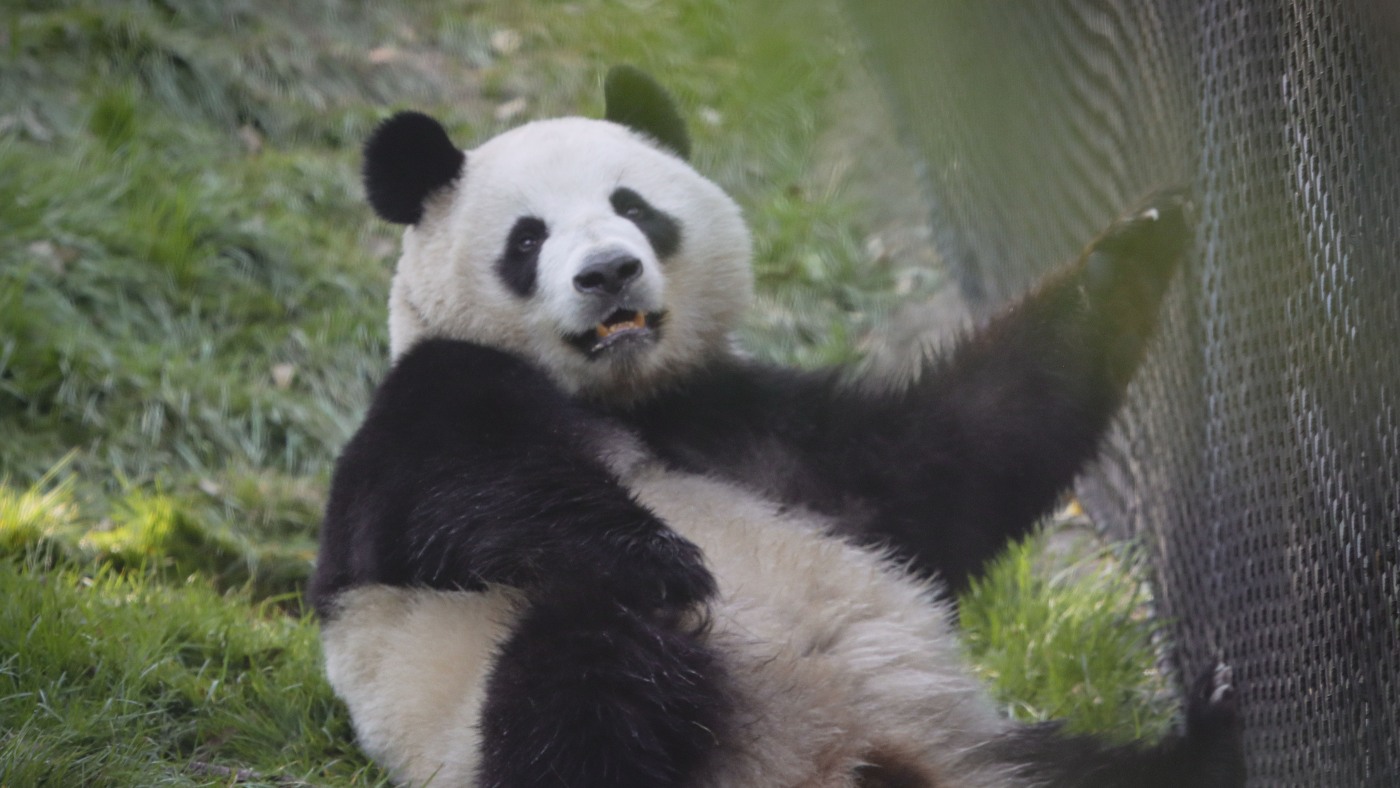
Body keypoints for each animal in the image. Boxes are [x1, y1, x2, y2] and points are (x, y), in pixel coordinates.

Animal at [309, 69, 1248, 788]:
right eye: (527, 238)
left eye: (635, 208)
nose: (609, 272)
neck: (622, 399)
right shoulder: (427, 400)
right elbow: (450, 490)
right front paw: (658, 554)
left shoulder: (744, 427)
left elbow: (950, 459)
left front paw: (1140, 243)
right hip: (513, 709)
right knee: (585, 670)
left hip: (978, 750)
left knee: (1091, 774)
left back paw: (1213, 731)